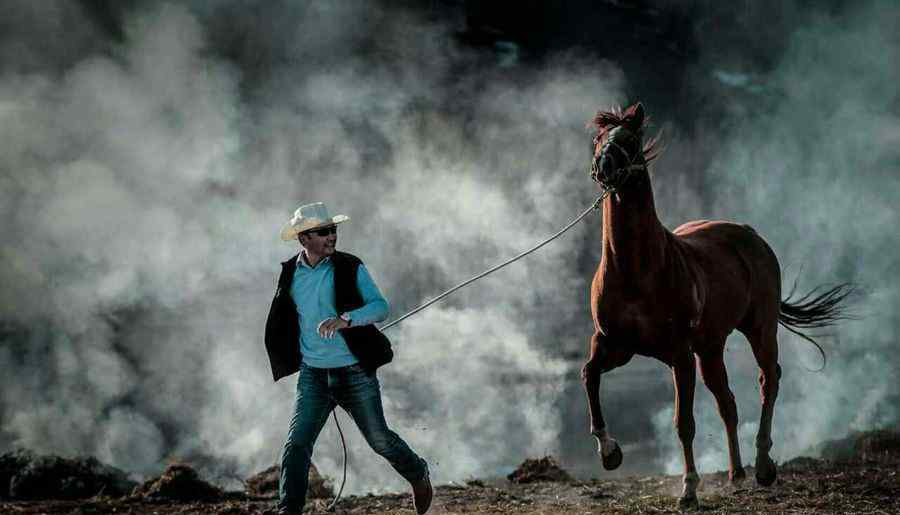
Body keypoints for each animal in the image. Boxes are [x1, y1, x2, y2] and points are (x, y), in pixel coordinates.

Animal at [584, 103, 852, 510]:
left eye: (629, 140)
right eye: (599, 138)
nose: (604, 166)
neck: (636, 268)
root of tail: (751, 235)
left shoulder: (678, 355)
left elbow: (684, 423)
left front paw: (689, 489)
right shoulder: (614, 344)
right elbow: (589, 376)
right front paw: (609, 452)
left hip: (759, 330)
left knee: (768, 379)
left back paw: (762, 466)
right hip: (710, 349)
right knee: (728, 401)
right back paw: (736, 472)